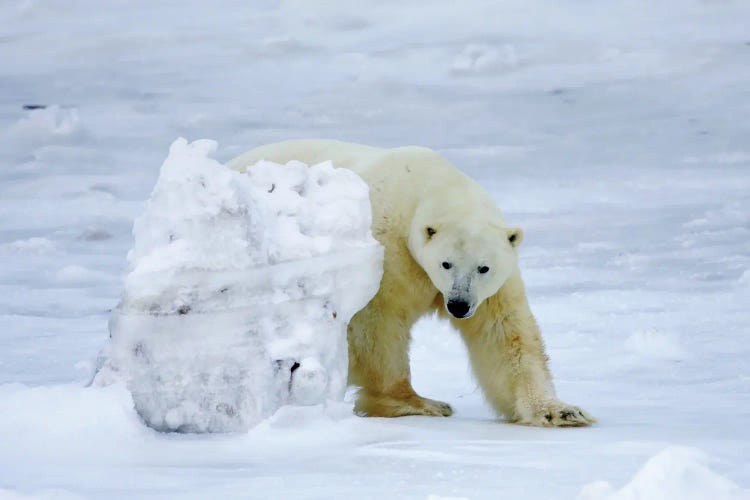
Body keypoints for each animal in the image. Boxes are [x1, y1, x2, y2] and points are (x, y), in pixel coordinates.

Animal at [229, 140, 592, 426]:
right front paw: (417, 403)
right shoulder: (390, 252)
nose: (458, 305)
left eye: (483, 268)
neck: (429, 185)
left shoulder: (493, 288)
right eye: (446, 263)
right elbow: (377, 324)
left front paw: (560, 412)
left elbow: (504, 335)